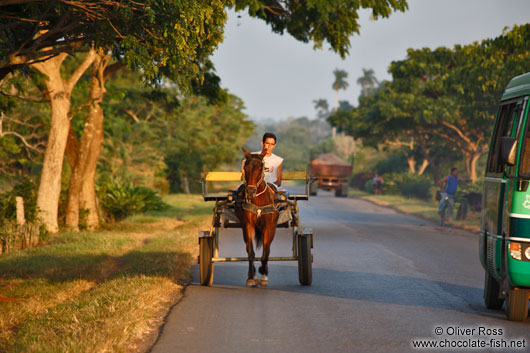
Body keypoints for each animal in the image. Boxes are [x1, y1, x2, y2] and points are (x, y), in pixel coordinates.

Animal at [236, 147, 278, 284]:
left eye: (261, 168)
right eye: (246, 167)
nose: (250, 191)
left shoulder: (269, 227)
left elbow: (266, 253)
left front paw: (263, 273)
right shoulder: (248, 225)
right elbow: (251, 253)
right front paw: (251, 276)